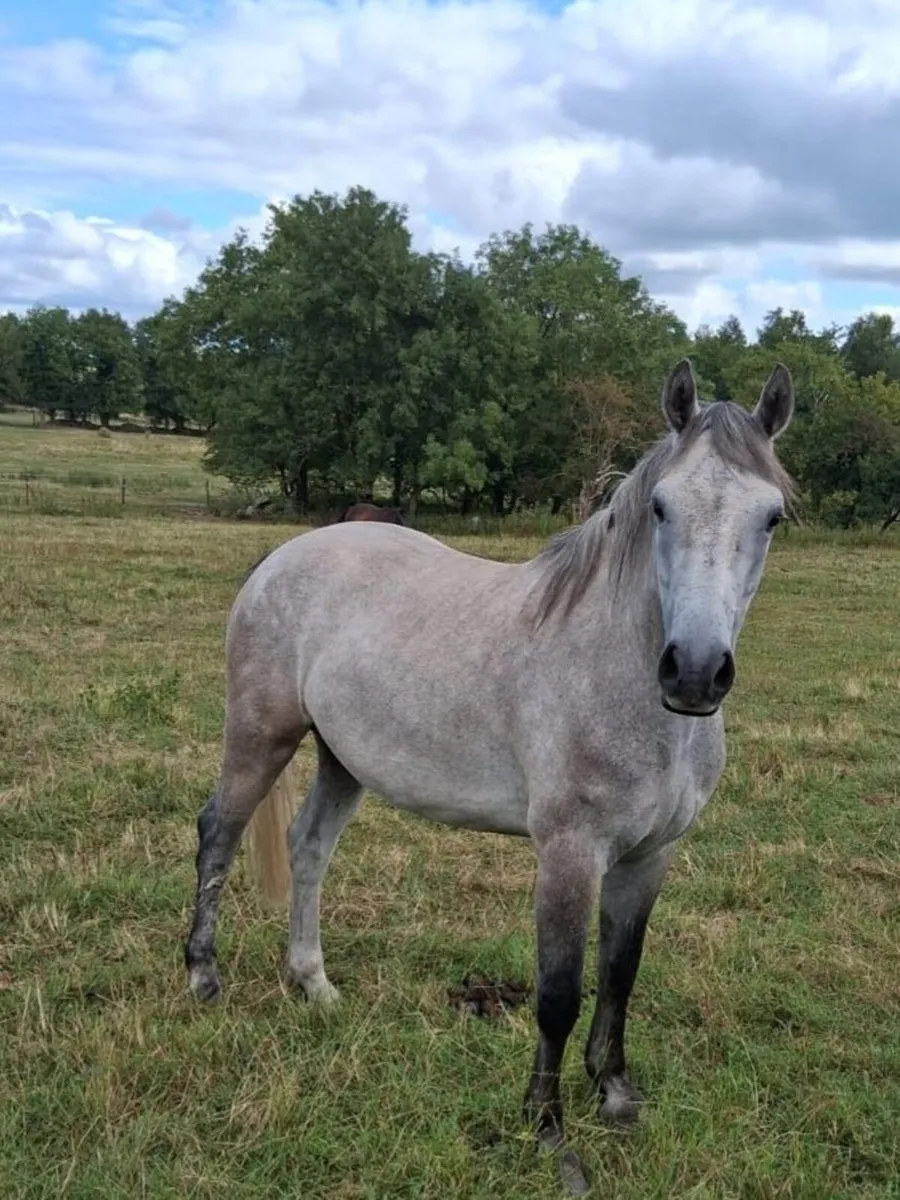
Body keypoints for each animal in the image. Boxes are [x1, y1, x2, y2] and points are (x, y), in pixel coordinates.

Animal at [184, 358, 795, 1192]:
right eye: (662, 506)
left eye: (772, 517)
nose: (696, 673)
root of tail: (284, 556)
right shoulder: (569, 854)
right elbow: (559, 994)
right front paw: (549, 1133)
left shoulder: (650, 856)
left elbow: (622, 971)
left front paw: (615, 1094)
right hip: (260, 734)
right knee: (218, 833)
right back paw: (202, 979)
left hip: (344, 759)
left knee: (309, 849)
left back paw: (314, 985)